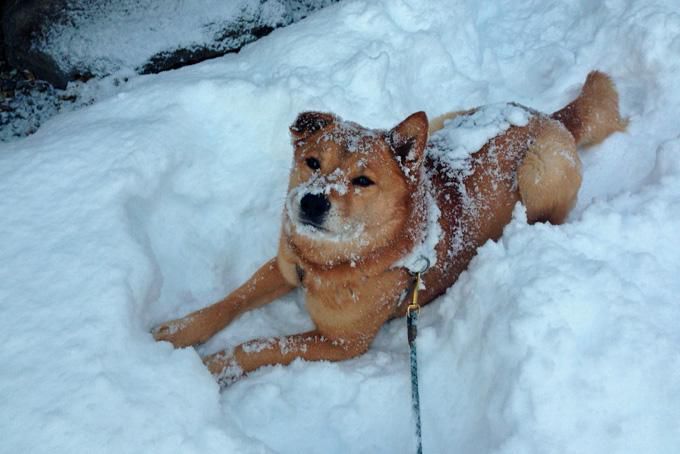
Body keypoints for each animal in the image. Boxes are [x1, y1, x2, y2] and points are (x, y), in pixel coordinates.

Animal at [153, 70, 628, 384]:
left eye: (363, 180)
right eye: (312, 162)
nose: (311, 202)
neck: (328, 263)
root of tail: (551, 117)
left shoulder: (342, 344)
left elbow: (262, 345)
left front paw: (211, 367)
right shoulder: (285, 265)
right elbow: (230, 301)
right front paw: (178, 332)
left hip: (540, 173)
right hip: (444, 121)